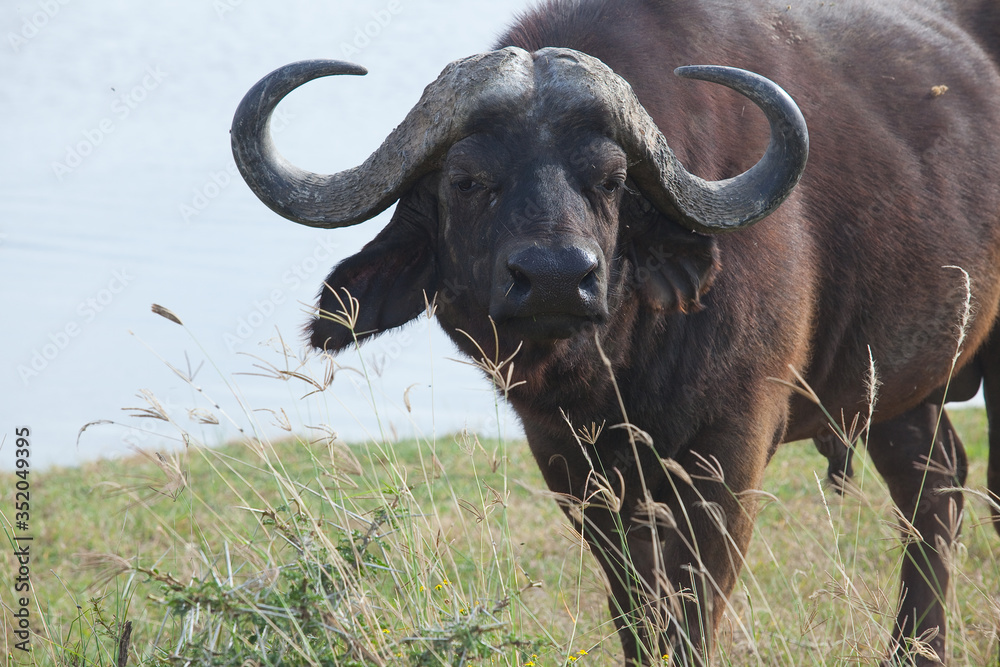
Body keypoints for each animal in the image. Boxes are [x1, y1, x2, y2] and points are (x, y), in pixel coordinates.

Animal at [231, 0, 1000, 664]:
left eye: (609, 178)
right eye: (467, 179)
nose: (554, 277)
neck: (619, 369)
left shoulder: (732, 448)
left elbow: (692, 606)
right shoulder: (571, 462)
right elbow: (633, 605)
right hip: (899, 389)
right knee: (933, 486)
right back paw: (917, 649)